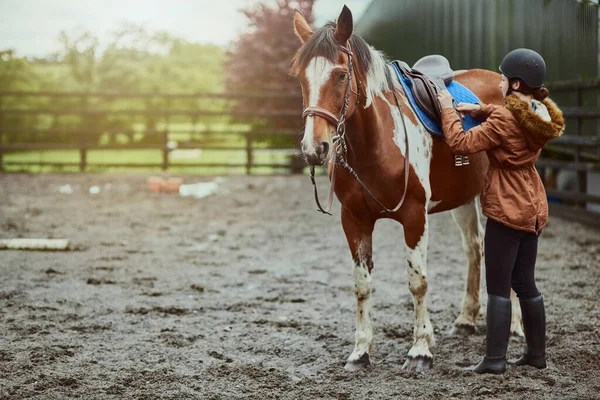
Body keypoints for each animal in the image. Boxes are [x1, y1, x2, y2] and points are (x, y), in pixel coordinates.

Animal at [288, 5, 524, 372]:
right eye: (301, 76)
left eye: (340, 75)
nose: (315, 149)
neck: (376, 145)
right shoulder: (354, 220)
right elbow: (362, 285)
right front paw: (361, 352)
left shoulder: (415, 216)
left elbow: (417, 282)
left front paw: (420, 350)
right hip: (465, 197)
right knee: (474, 248)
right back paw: (466, 320)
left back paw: (515, 329)